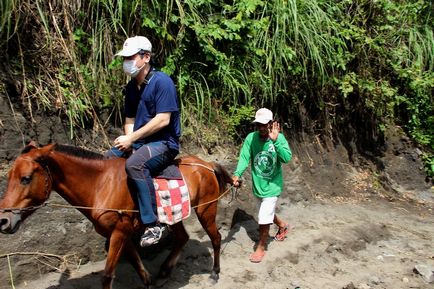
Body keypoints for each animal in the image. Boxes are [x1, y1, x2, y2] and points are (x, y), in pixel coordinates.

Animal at [0, 142, 234, 288]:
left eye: (26, 178)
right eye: (9, 177)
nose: (3, 220)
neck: (100, 185)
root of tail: (206, 164)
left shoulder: (119, 232)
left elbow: (107, 276)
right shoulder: (121, 234)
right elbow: (137, 265)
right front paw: (149, 282)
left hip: (206, 209)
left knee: (216, 238)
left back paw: (215, 273)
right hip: (174, 216)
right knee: (182, 238)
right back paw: (165, 272)